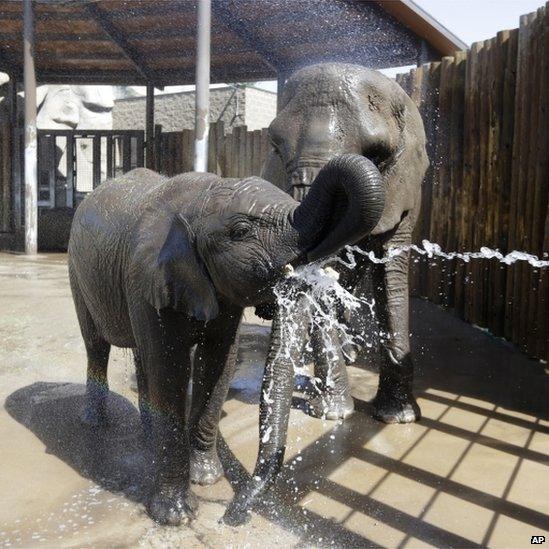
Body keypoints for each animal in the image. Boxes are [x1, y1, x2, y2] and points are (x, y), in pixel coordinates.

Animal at [67, 155, 386, 528]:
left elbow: (219, 362)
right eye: (241, 232)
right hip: (77, 273)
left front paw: (206, 478)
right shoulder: (146, 275)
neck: (199, 201)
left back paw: (147, 434)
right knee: (97, 346)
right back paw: (94, 423)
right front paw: (176, 516)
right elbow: (170, 368)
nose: (232, 517)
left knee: (142, 358)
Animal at [223, 63, 428, 524]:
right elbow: (324, 289)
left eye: (378, 153)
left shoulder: (405, 192)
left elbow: (391, 277)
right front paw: (336, 414)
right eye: (275, 145)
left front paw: (398, 419)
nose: (232, 514)